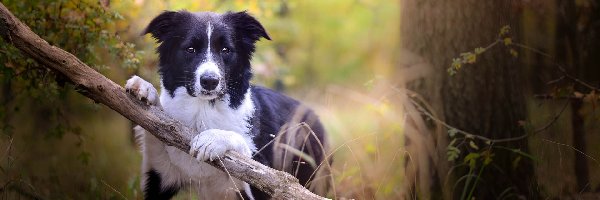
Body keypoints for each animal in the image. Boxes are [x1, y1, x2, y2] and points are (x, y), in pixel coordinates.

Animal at [125, 10, 330, 198]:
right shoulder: (162, 176)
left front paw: (214, 138)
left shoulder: (273, 183)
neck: (204, 110)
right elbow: (158, 132)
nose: (210, 81)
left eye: (226, 50)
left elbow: (254, 164)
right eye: (190, 49)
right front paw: (145, 89)